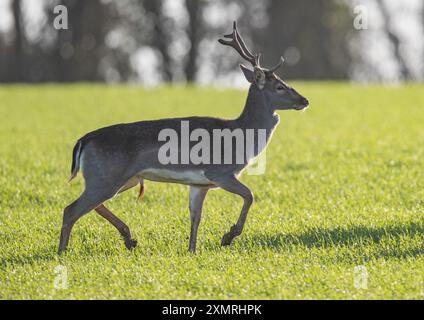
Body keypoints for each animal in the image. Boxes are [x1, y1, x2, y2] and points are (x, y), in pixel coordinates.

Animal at [58, 21, 308, 254]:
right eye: (280, 86)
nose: (304, 100)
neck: (240, 133)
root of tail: (84, 140)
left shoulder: (199, 184)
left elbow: (195, 218)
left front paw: (192, 251)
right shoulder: (219, 172)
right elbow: (250, 195)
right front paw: (228, 237)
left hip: (124, 179)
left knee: (92, 205)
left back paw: (129, 239)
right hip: (106, 176)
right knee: (71, 209)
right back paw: (63, 252)